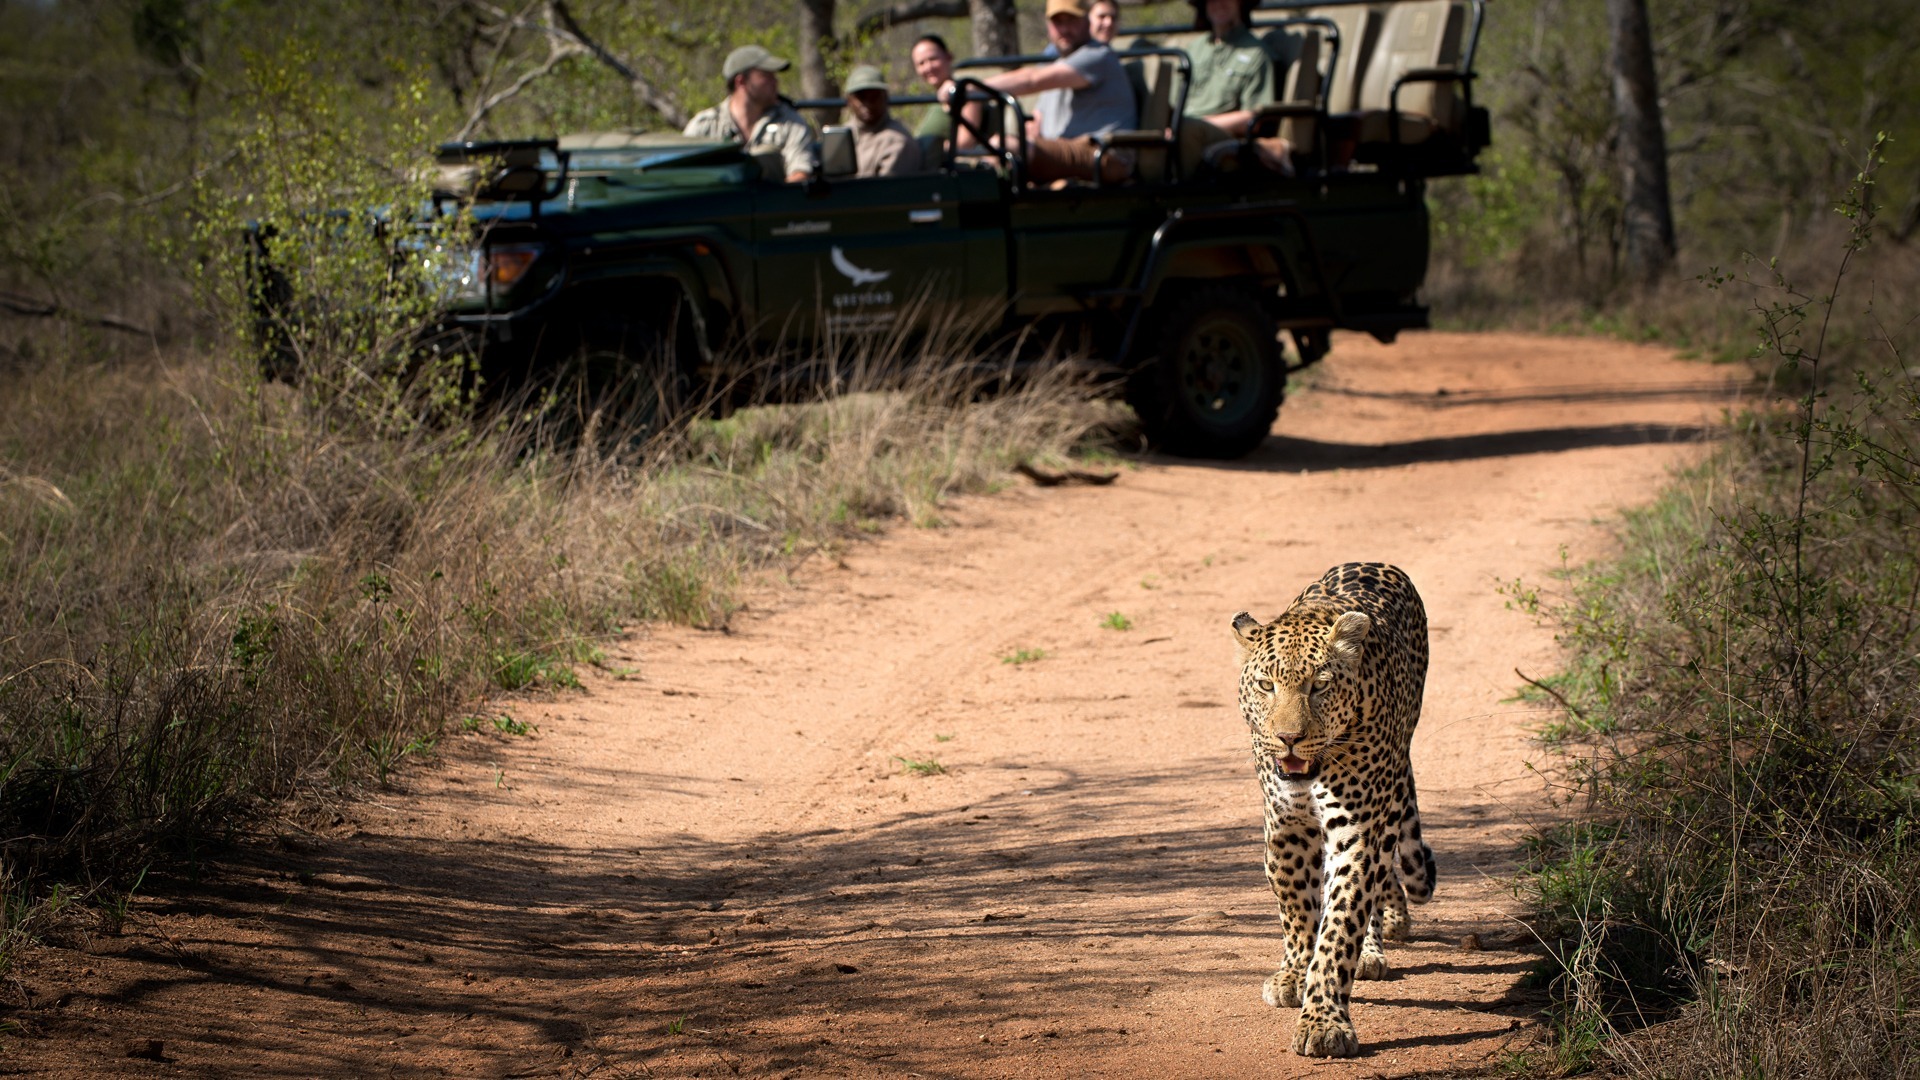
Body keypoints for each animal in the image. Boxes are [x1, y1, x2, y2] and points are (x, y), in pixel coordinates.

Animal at [1230, 562, 1436, 1058]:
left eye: (1319, 686)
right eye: (1266, 685)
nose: (1287, 738)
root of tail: (1376, 562)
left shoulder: (1357, 832)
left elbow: (1340, 923)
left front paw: (1324, 1021)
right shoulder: (1286, 827)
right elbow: (1297, 910)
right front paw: (1293, 974)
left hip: (1389, 792)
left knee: (1381, 874)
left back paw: (1373, 949)